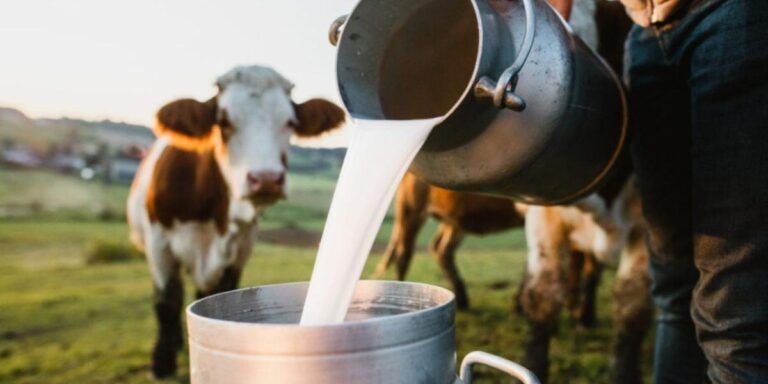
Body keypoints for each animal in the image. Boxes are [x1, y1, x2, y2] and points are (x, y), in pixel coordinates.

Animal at [127, 65, 344, 378]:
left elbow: (217, 291)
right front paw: (162, 363)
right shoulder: (158, 243)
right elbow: (167, 301)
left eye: (290, 122)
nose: (266, 179)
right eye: (224, 121)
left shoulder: (240, 248)